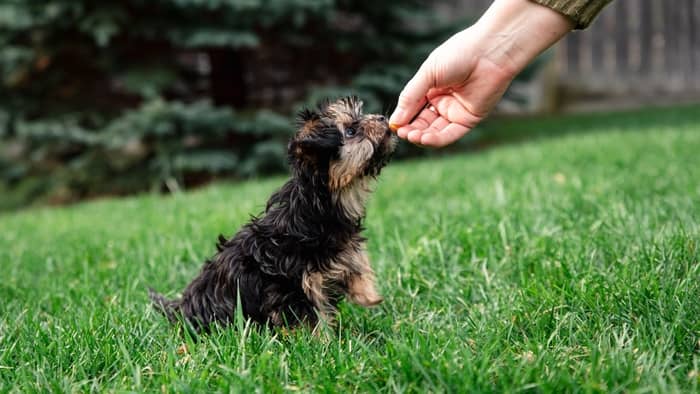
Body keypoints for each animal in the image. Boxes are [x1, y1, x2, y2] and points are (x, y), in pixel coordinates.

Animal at [150, 97, 396, 330]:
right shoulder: (291, 285)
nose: (383, 118)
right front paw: (321, 341)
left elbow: (354, 265)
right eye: (351, 131)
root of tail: (180, 310)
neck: (318, 207)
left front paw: (367, 294)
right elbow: (310, 318)